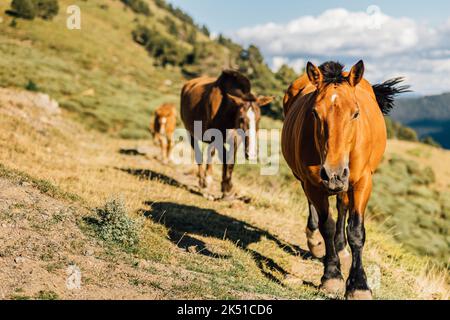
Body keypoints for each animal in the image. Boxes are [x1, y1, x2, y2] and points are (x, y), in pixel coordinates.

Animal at [180, 70, 272, 198]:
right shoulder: (216, 138)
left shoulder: (236, 138)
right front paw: (224, 185)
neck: (225, 109)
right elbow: (223, 156)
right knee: (199, 154)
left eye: (259, 119)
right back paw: (203, 180)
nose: (251, 154)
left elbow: (230, 159)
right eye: (241, 119)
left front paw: (226, 186)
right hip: (191, 133)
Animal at [284, 60, 410, 300]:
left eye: (356, 113)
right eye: (315, 113)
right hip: (309, 179)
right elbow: (327, 226)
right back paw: (315, 241)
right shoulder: (314, 183)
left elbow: (356, 231)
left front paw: (359, 285)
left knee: (342, 206)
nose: (333, 173)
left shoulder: (362, 182)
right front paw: (332, 276)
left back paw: (341, 248)